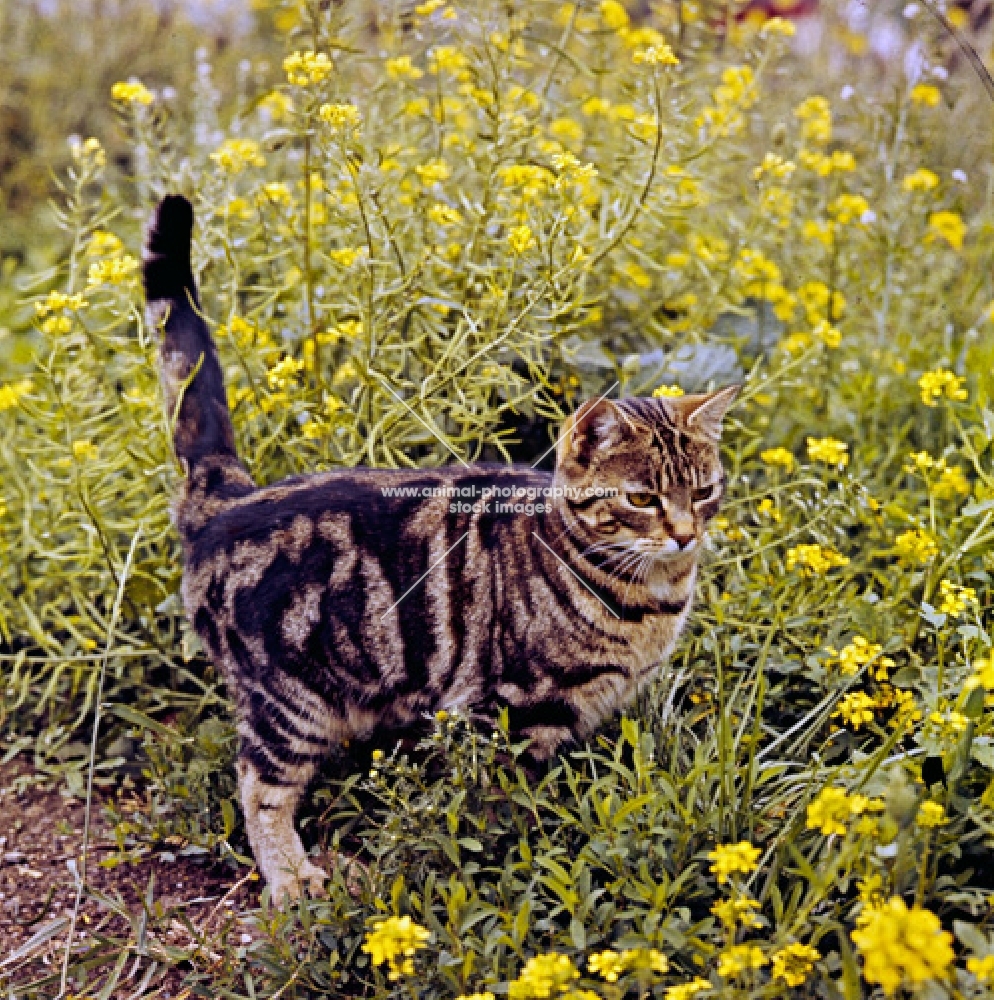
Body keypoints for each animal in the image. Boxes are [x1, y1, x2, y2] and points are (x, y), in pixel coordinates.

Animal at [145, 193, 736, 900]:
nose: (684, 534)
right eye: (643, 499)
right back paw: (291, 878)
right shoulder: (504, 708)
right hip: (290, 705)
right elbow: (496, 805)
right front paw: (508, 866)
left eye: (703, 491)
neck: (646, 597)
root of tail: (225, 499)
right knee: (259, 787)